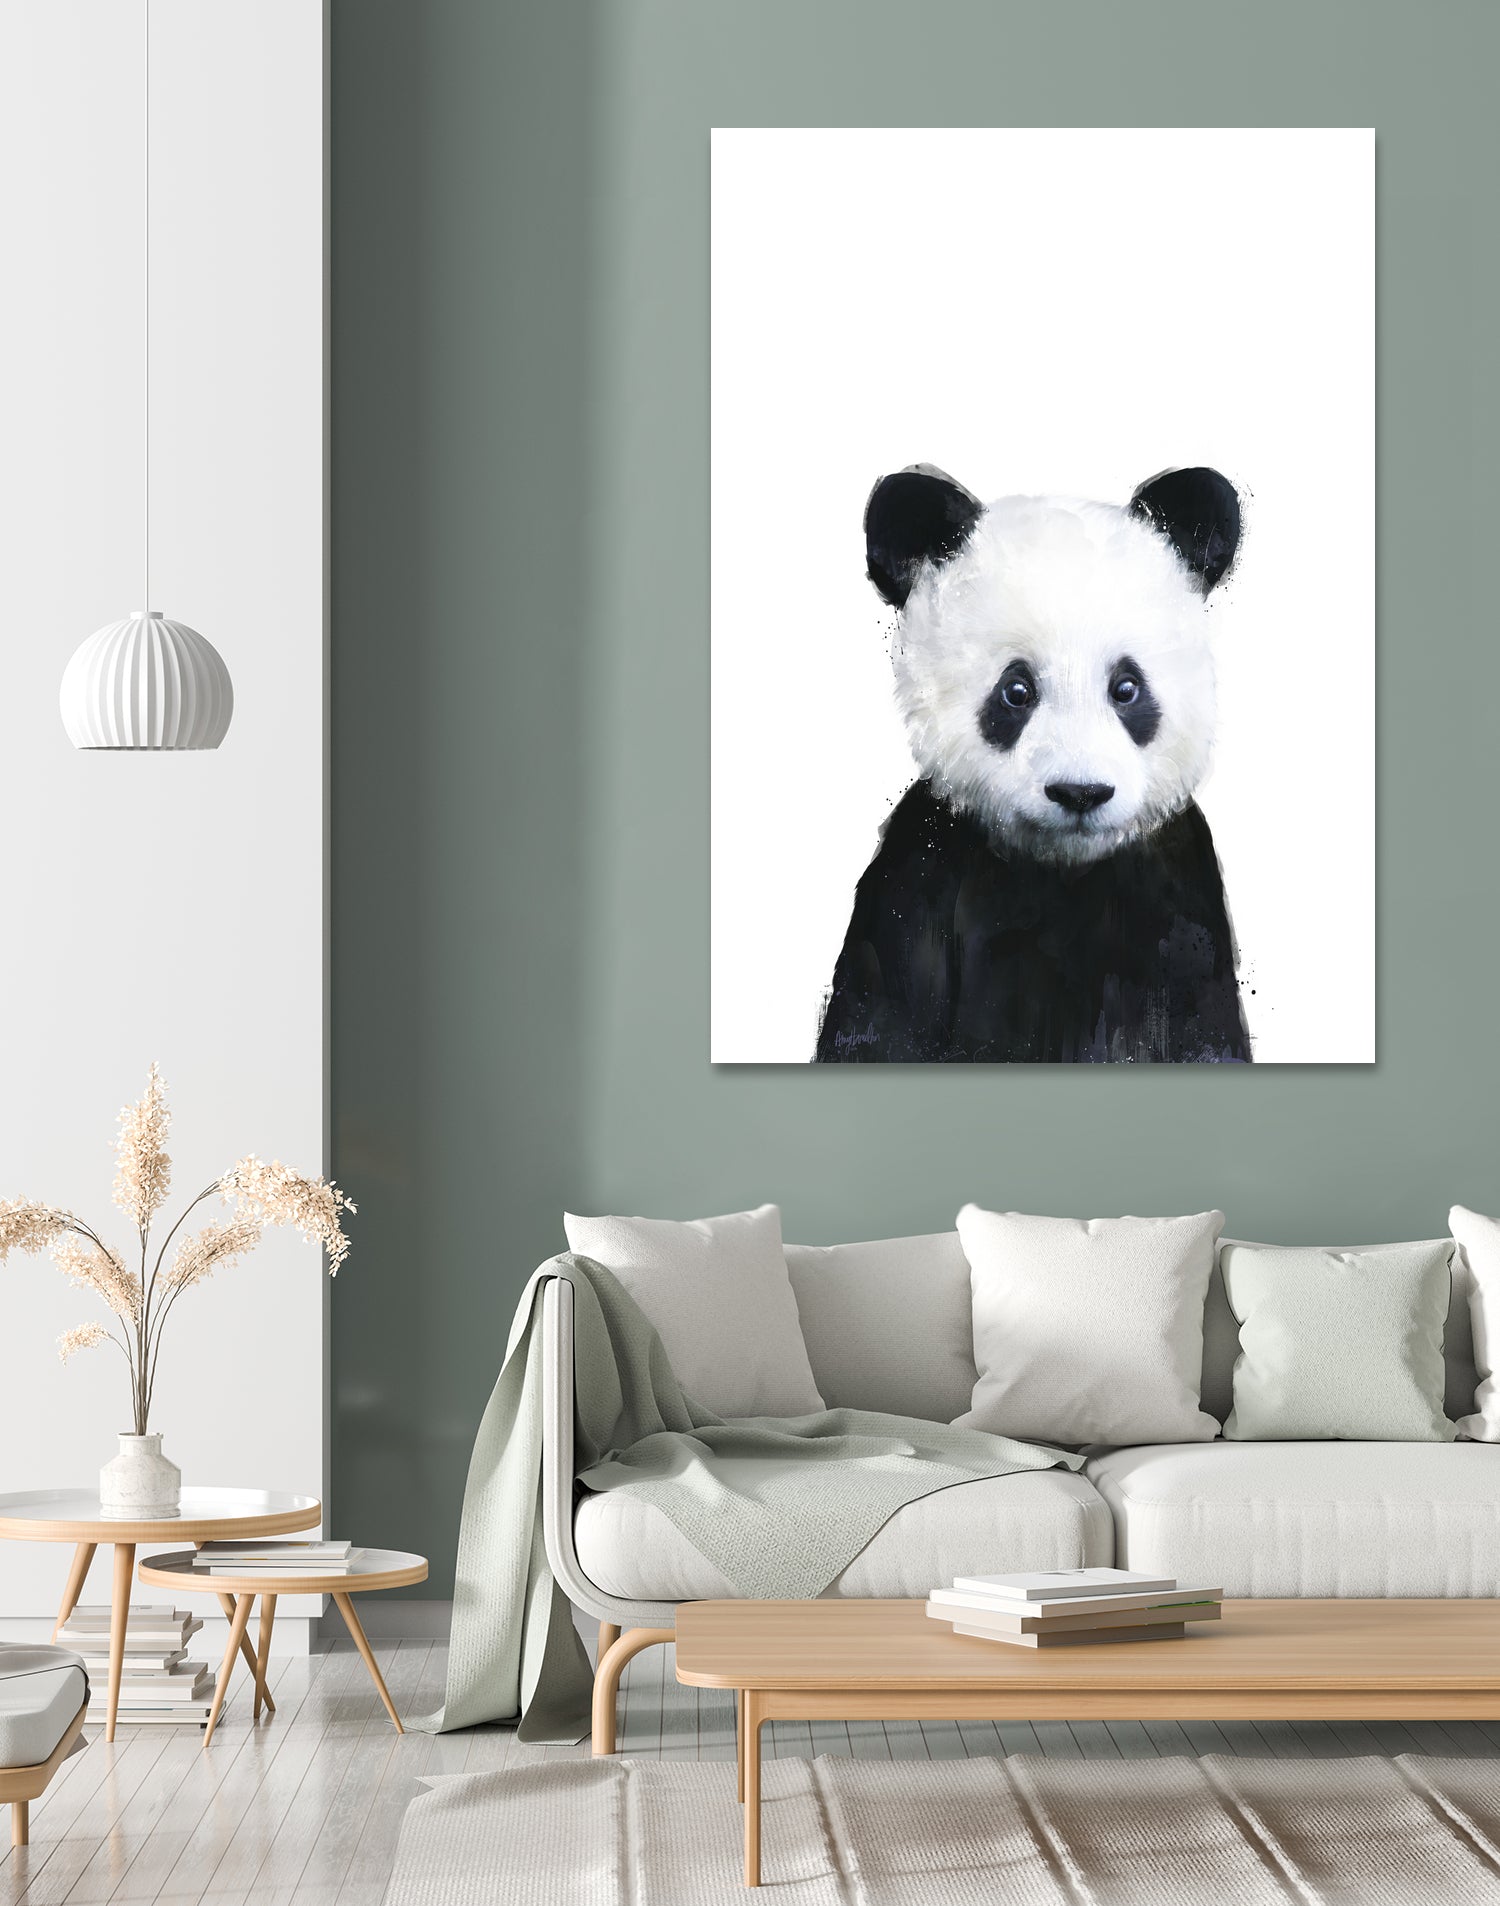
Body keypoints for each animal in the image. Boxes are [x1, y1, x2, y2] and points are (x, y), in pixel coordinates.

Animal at [815, 464, 1251, 1065]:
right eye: (1016, 690)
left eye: (1127, 688)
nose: (1080, 793)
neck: (1061, 869)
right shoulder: (921, 875)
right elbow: (881, 1018)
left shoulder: (1178, 895)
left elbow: (1202, 1030)